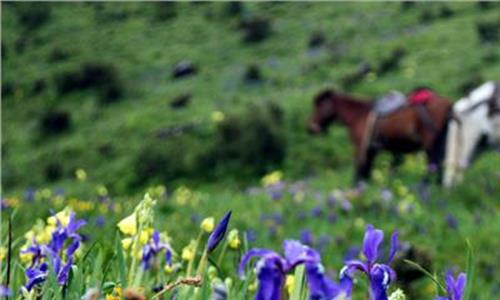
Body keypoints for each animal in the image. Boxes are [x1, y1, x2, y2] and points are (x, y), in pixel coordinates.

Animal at [308, 88, 454, 184]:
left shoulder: (360, 148)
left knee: (433, 166)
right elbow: (366, 173)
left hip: (431, 146)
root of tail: (447, 103)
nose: (311, 128)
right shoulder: (371, 150)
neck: (359, 115)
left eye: (319, 105)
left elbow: (359, 172)